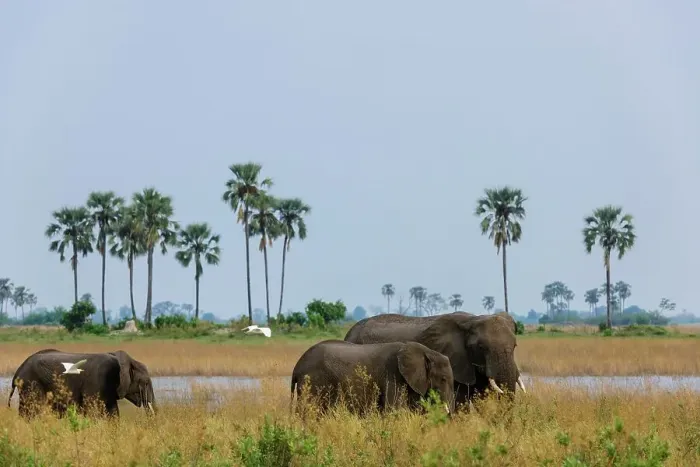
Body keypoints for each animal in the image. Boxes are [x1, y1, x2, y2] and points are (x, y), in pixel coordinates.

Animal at [7, 348, 156, 419]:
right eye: (145, 382)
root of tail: (19, 370)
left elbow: (113, 413)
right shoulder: (96, 382)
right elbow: (93, 412)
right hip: (31, 384)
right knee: (32, 411)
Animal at [290, 339, 455, 416]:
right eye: (443, 379)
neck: (426, 352)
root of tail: (296, 367)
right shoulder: (393, 377)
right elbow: (393, 410)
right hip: (314, 381)